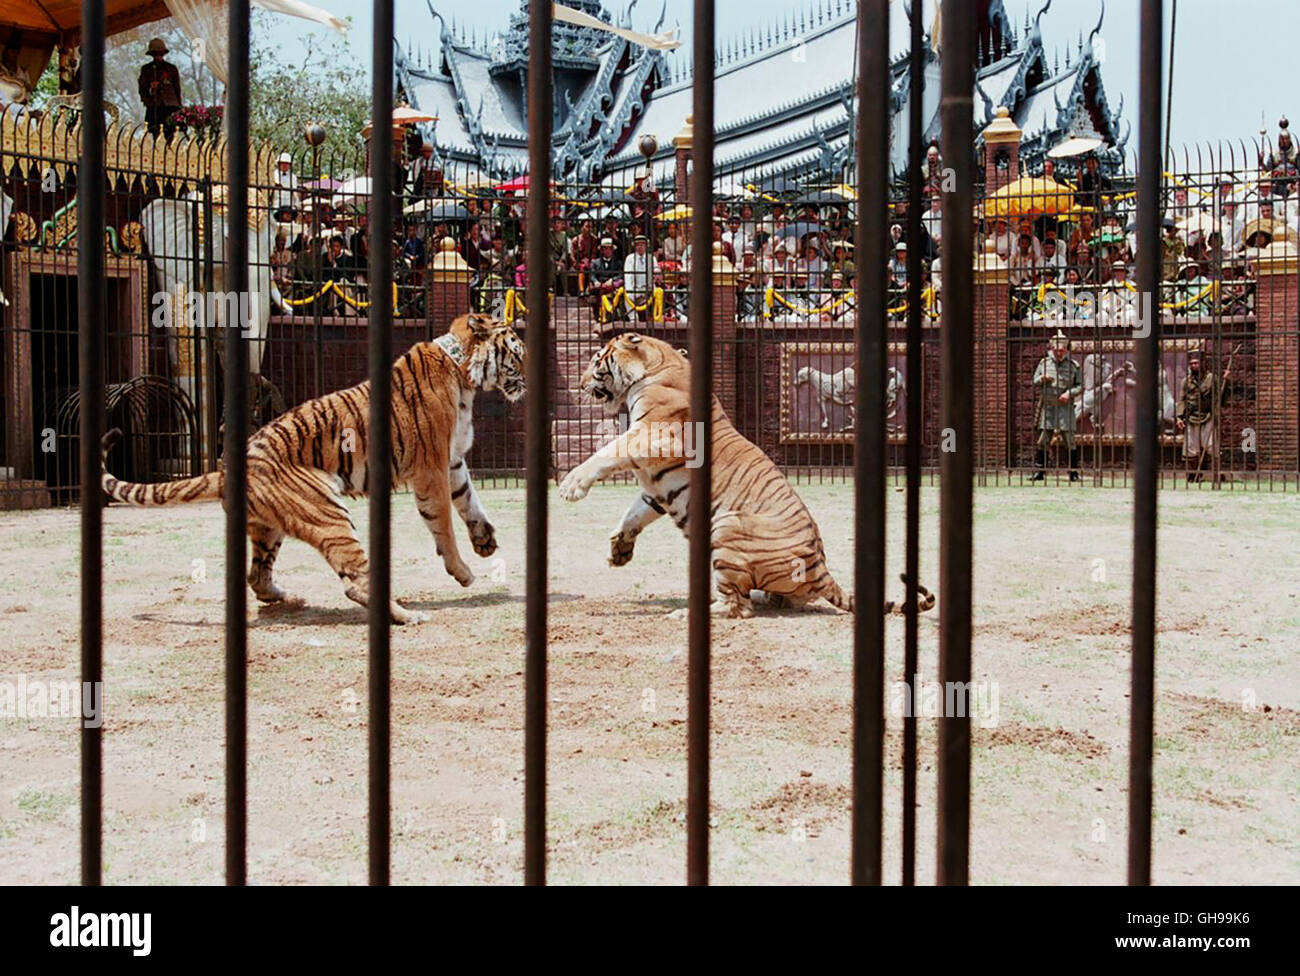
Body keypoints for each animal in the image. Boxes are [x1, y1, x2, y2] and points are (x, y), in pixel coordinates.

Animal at [100, 313, 527, 626]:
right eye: (517, 354)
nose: (526, 381)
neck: (464, 373)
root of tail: (226, 468)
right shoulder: (431, 468)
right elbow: (445, 523)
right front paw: (463, 571)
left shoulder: (453, 460)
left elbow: (469, 501)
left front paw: (485, 541)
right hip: (328, 513)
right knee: (355, 582)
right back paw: (406, 615)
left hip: (270, 527)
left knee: (257, 575)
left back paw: (288, 597)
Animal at [553, 335, 930, 618]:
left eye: (597, 361)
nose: (580, 384)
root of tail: (820, 565)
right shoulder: (654, 483)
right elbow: (634, 513)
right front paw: (619, 551)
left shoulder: (654, 437)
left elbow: (607, 452)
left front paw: (571, 485)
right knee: (771, 598)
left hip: (725, 527)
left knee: (737, 606)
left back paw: (687, 612)